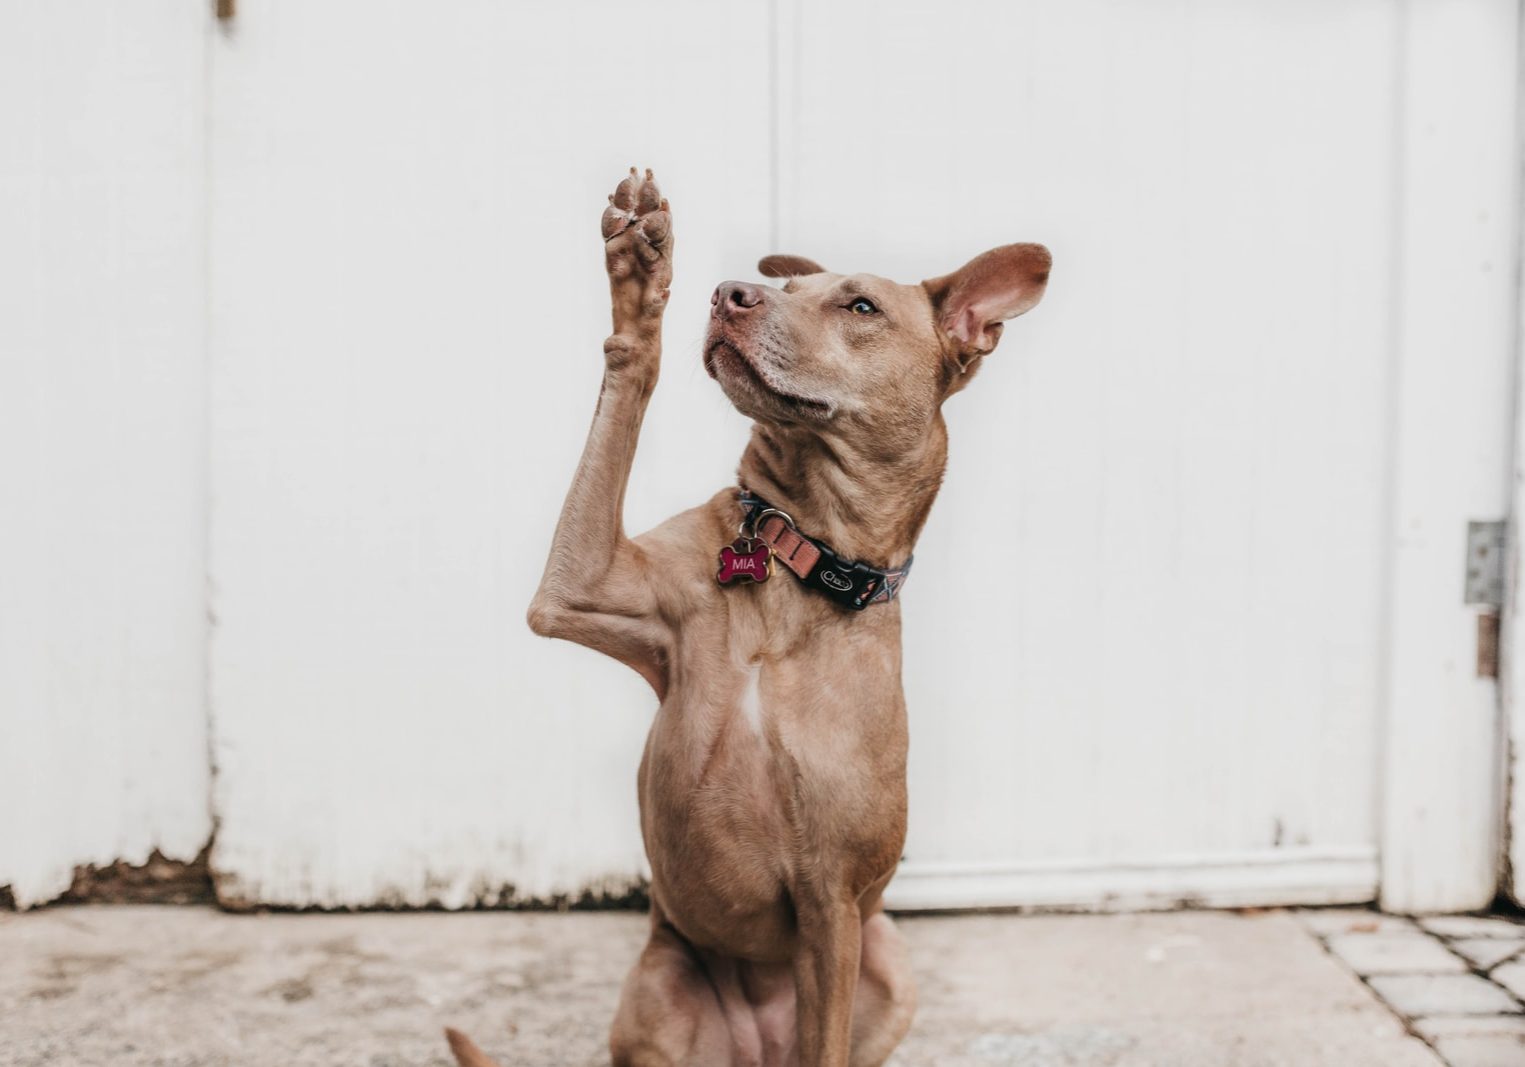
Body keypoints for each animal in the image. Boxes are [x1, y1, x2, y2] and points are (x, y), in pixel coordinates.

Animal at [445, 168, 1049, 1067]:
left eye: (859, 305)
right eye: (787, 288)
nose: (730, 292)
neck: (795, 559)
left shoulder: (832, 902)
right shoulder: (575, 585)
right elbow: (627, 377)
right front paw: (639, 277)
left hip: (886, 959)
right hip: (659, 988)